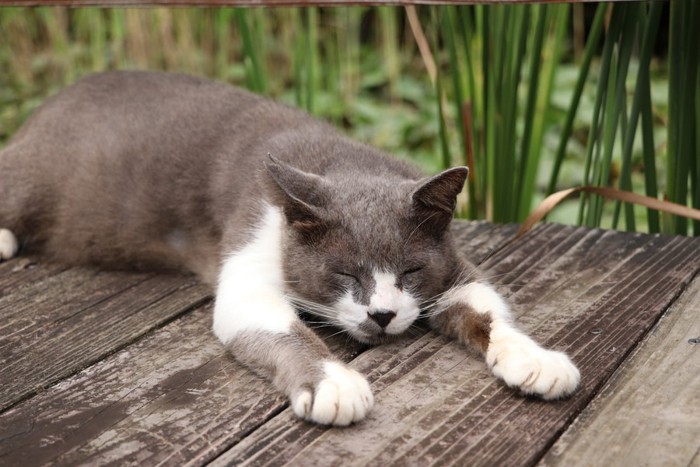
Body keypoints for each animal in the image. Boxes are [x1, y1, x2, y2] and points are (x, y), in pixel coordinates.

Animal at [0, 70, 580, 428]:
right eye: (345, 274)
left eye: (411, 270)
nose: (383, 314)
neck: (344, 160)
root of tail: (52, 102)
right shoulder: (252, 240)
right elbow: (280, 326)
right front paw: (335, 385)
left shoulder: (454, 266)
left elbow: (487, 308)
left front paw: (536, 359)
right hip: (38, 176)